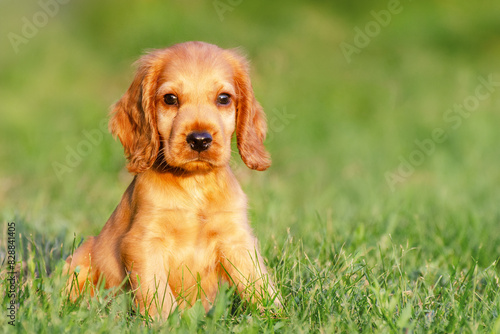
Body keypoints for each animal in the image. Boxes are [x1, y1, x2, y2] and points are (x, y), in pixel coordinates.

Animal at [63, 41, 280, 318]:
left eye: (223, 98)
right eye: (170, 99)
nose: (200, 139)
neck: (194, 184)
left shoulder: (236, 240)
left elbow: (259, 284)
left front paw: (280, 317)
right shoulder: (144, 243)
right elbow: (159, 296)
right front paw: (168, 321)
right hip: (79, 258)